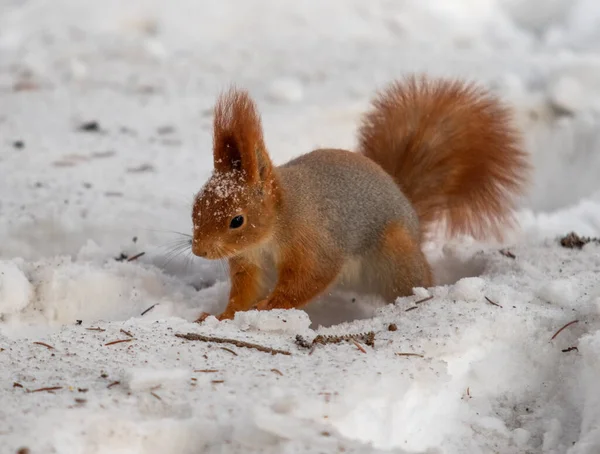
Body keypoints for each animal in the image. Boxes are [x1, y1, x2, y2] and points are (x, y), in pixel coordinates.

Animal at [191, 75, 528, 320]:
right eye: (195, 207)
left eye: (237, 220)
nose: (199, 251)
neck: (278, 222)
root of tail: (412, 214)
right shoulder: (249, 261)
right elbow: (246, 290)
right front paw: (222, 317)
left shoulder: (313, 240)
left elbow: (311, 276)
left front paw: (271, 305)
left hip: (395, 256)